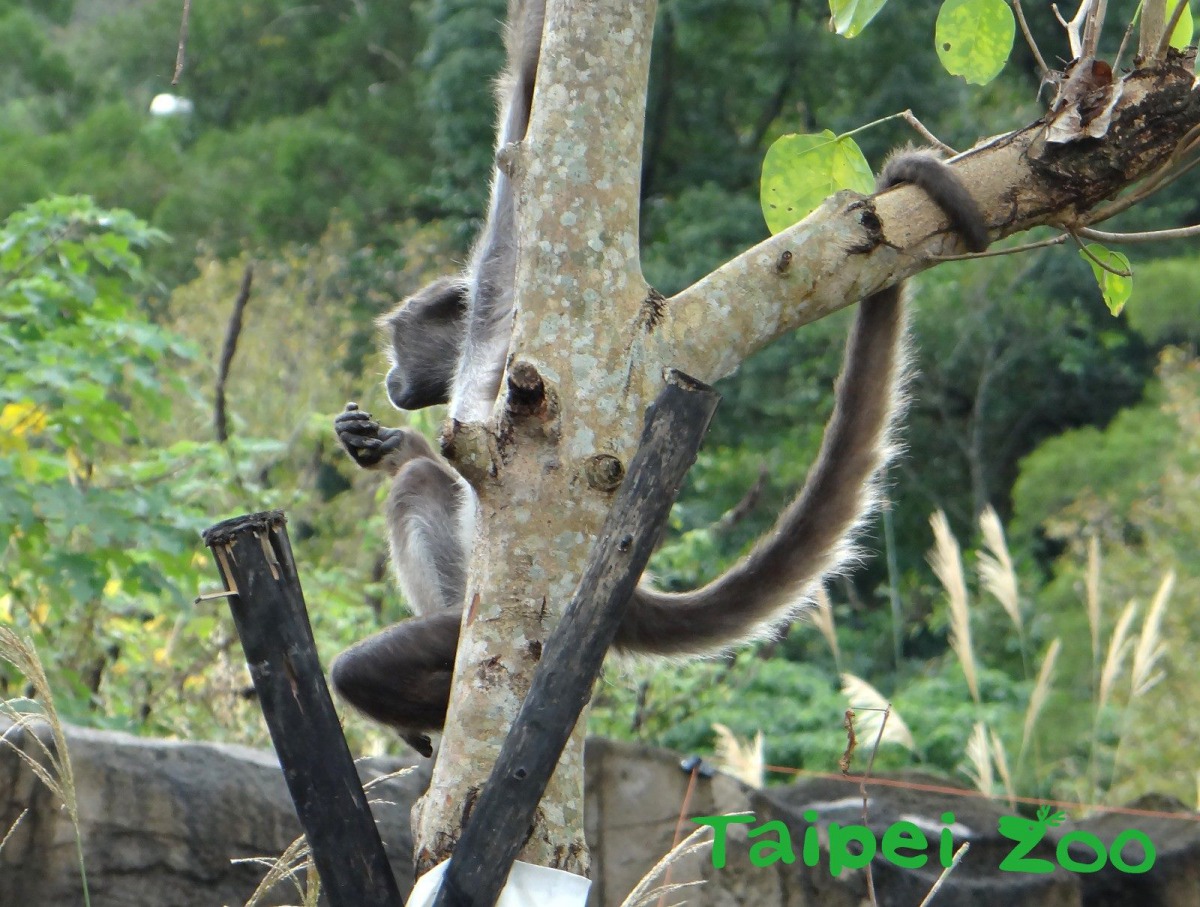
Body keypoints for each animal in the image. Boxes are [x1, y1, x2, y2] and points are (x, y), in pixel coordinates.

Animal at [333, 0, 988, 753]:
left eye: (397, 343)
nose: (391, 378)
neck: (480, 368)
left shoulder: (497, 318)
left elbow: (517, 137)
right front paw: (371, 439)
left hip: (472, 639)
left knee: (365, 661)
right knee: (419, 484)